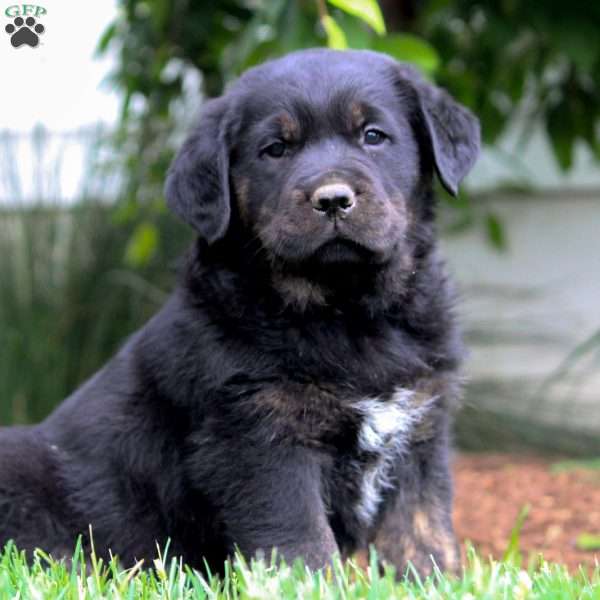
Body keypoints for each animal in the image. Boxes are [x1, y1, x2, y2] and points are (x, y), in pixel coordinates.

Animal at [0, 49, 478, 576]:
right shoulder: (259, 434)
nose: (333, 199)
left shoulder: (420, 427)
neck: (346, 311)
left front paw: (436, 579)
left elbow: (420, 529)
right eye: (275, 149)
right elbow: (300, 536)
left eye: (373, 135)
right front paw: (308, 582)